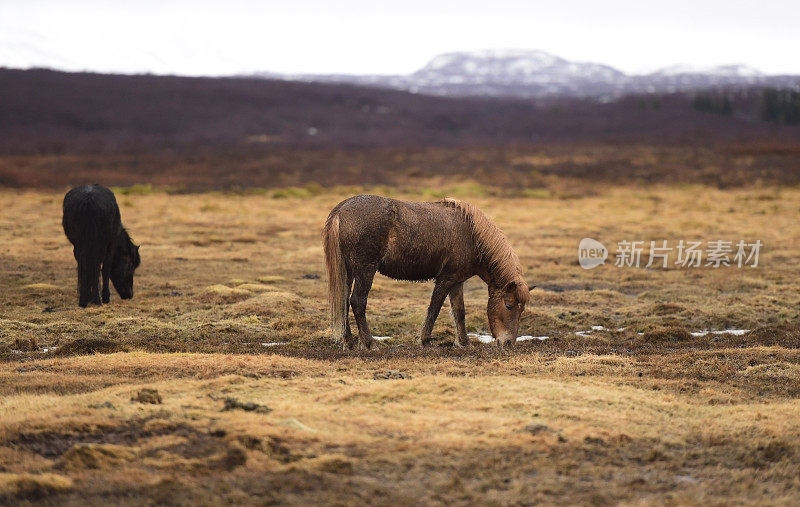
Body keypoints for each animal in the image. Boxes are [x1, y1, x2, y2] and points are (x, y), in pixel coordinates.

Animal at [324, 194, 532, 350]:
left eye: (521, 309)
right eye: (508, 305)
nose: (508, 342)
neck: (472, 234)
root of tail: (341, 210)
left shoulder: (457, 281)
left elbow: (459, 311)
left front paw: (464, 343)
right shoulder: (446, 279)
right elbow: (434, 308)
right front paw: (424, 341)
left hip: (349, 271)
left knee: (343, 301)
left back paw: (349, 343)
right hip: (365, 270)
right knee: (357, 301)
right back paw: (369, 344)